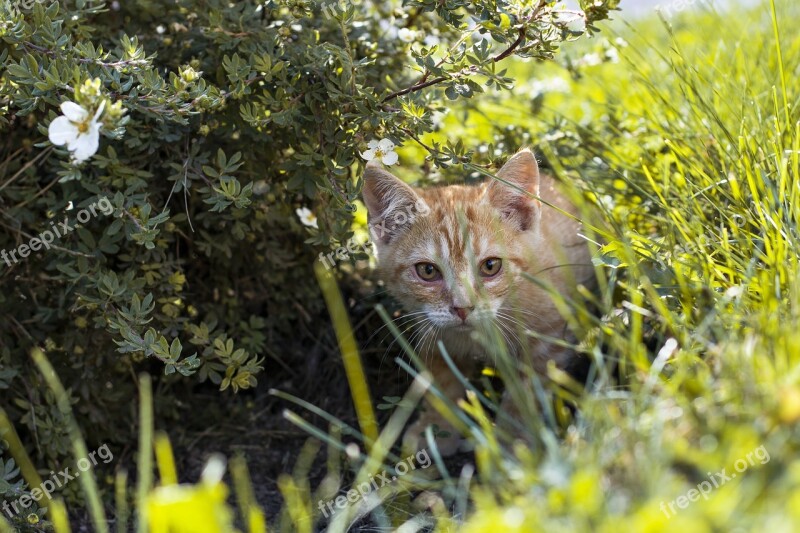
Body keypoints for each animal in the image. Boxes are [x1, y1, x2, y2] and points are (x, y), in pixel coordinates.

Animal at [362, 149, 592, 454]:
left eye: (491, 266)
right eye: (427, 271)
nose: (463, 307)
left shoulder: (550, 337)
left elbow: (526, 394)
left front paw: (513, 443)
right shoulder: (433, 333)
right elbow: (444, 380)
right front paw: (437, 427)